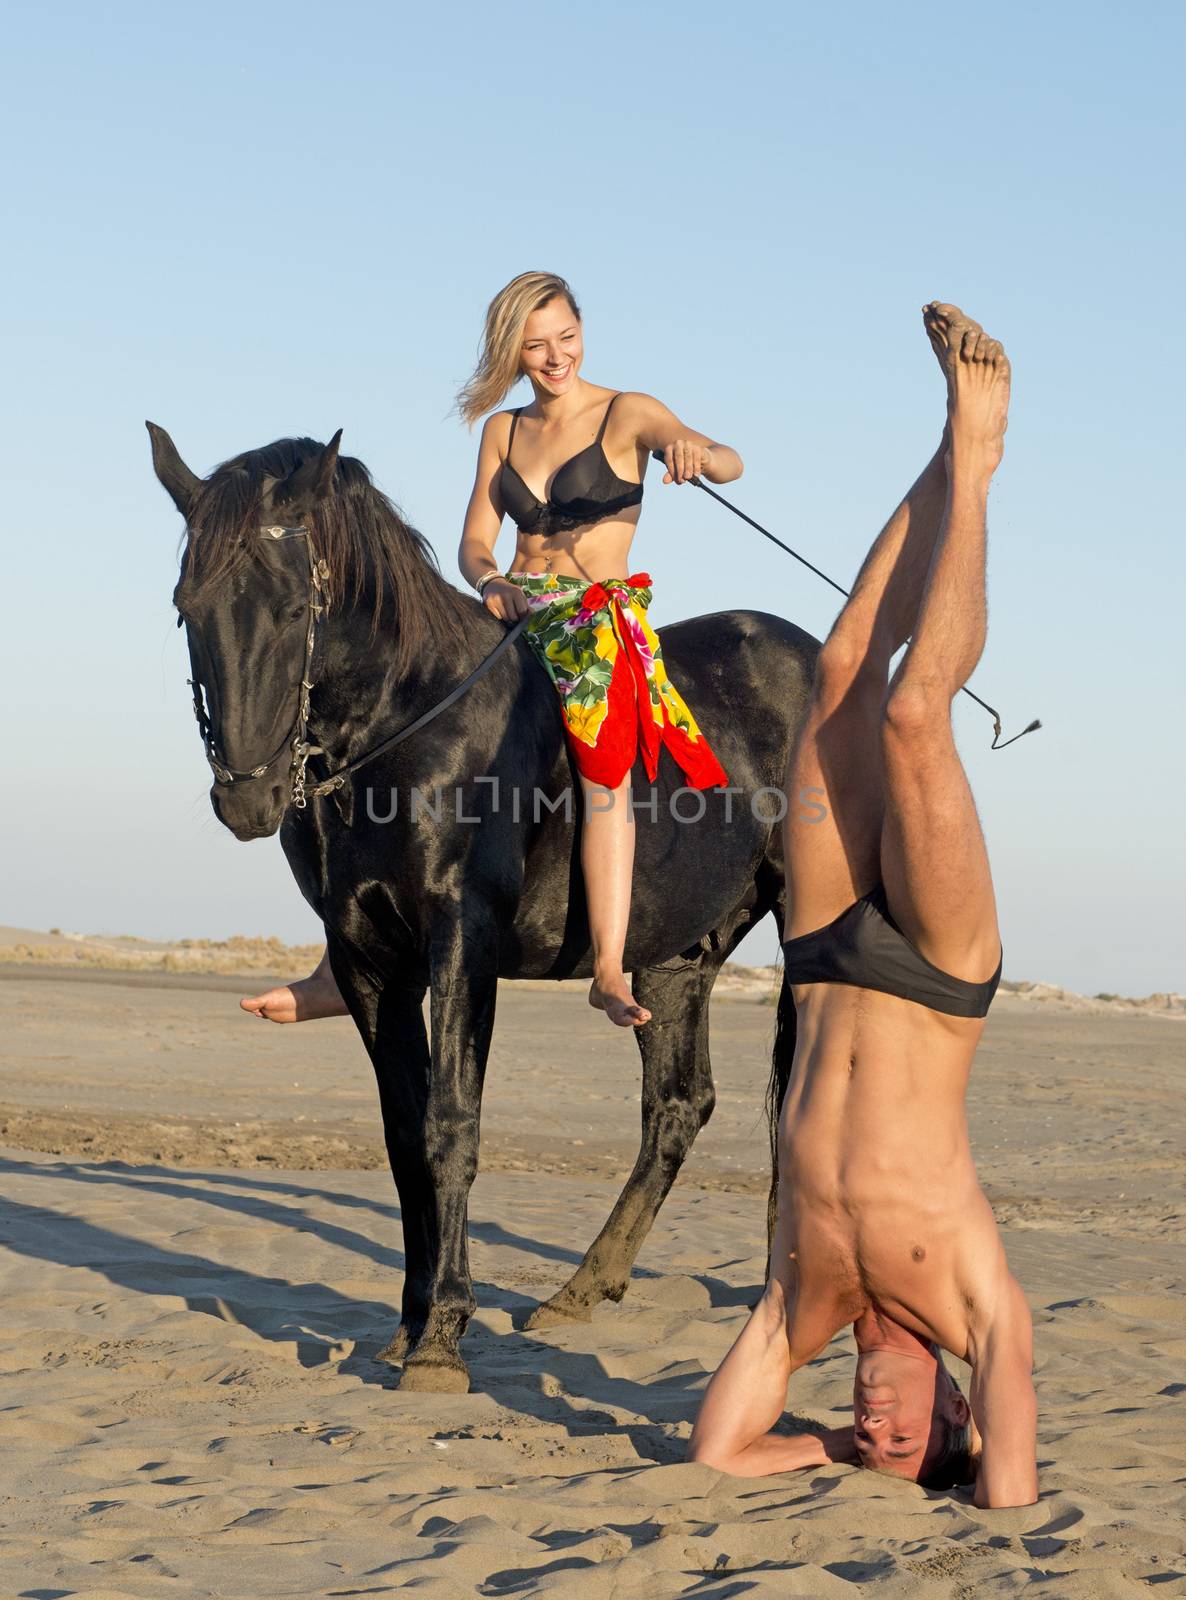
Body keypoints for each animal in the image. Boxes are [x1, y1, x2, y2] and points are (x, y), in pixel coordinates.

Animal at [148, 422, 813, 1388]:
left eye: (291, 607)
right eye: (186, 605)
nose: (247, 797)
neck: (409, 728)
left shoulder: (463, 943)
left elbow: (451, 1123)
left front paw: (442, 1337)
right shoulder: (368, 960)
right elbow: (403, 1135)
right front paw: (409, 1320)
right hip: (673, 958)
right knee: (678, 1106)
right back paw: (583, 1288)